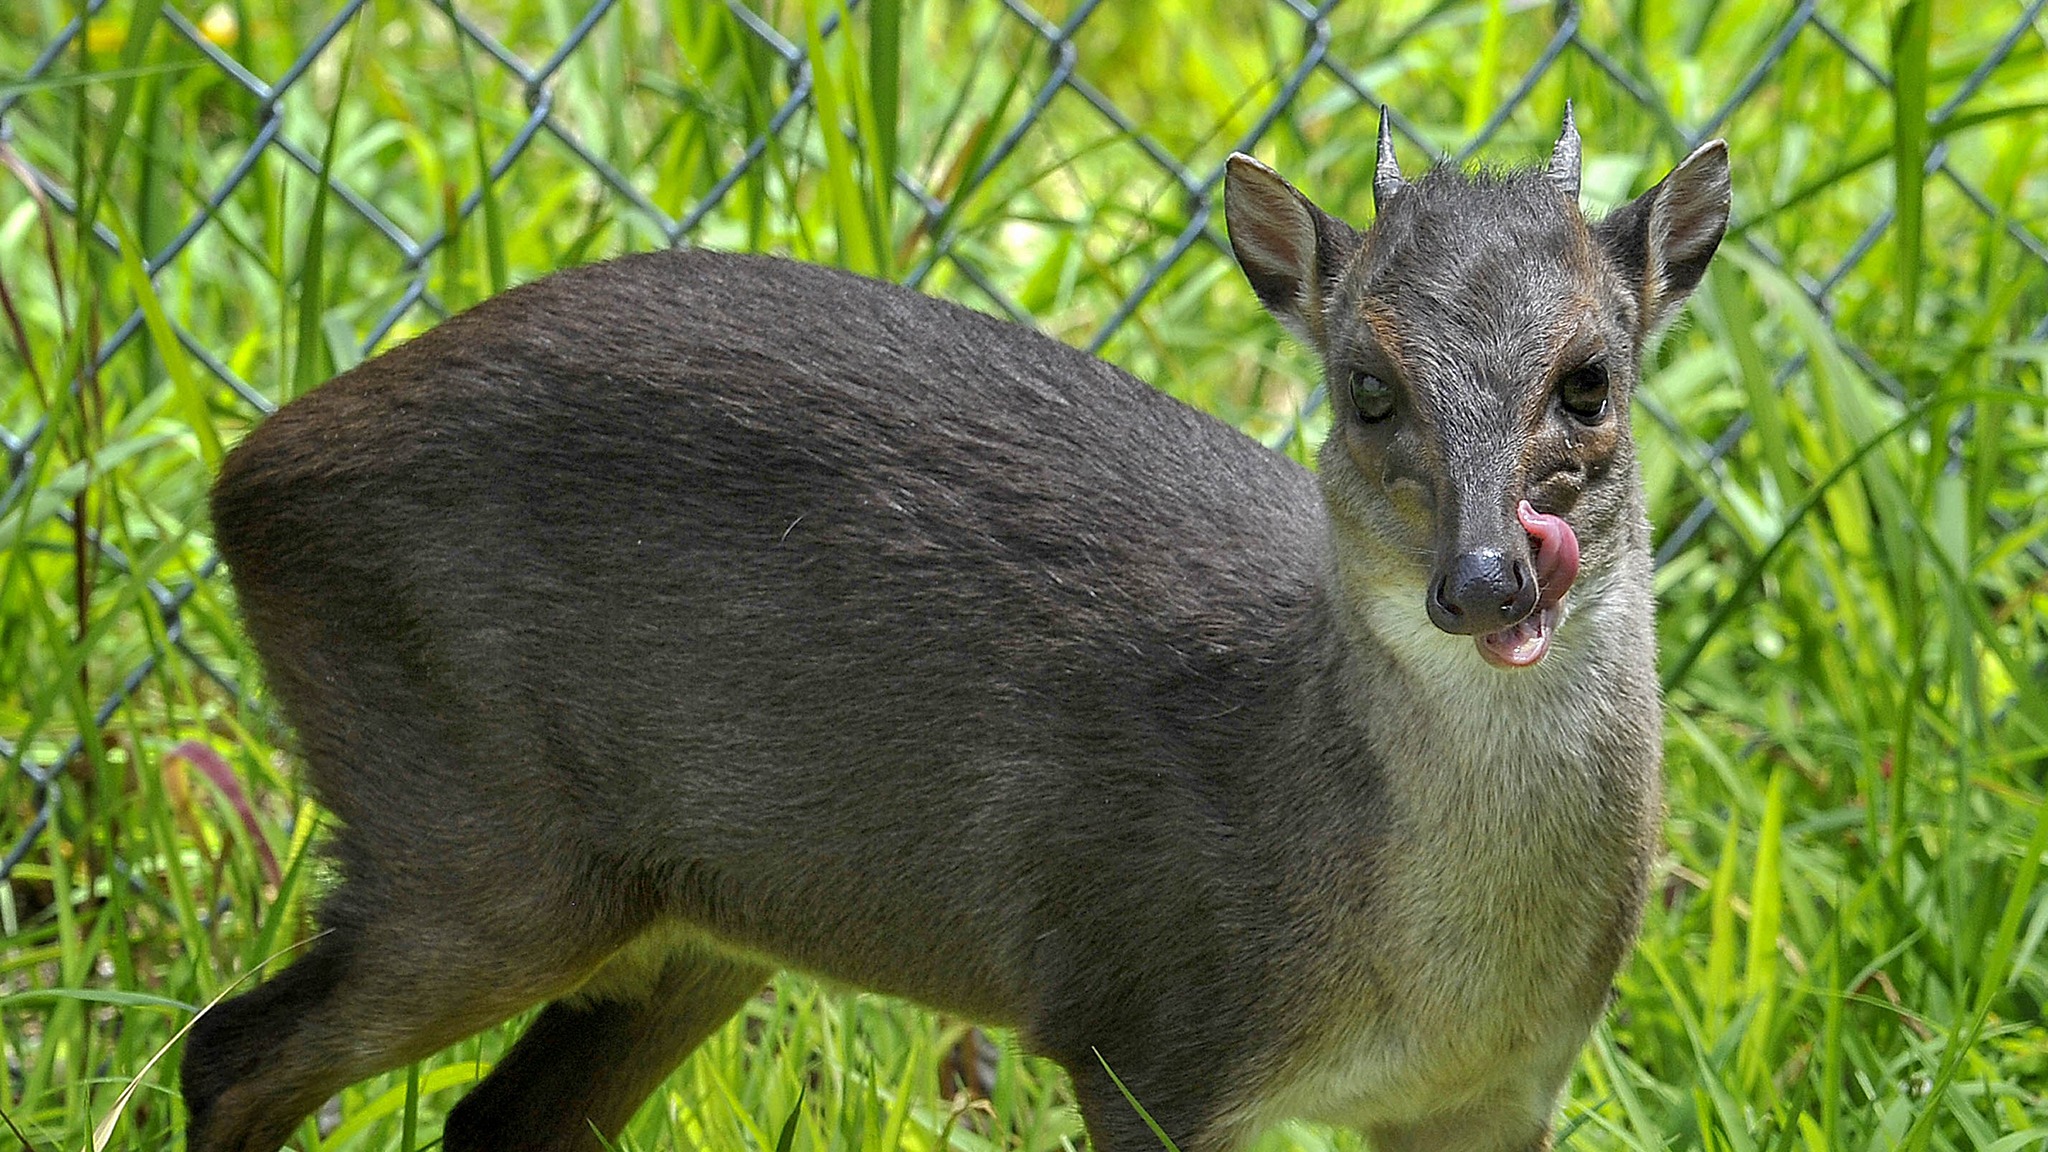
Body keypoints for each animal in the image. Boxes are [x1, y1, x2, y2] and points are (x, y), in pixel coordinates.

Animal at [188, 109, 1728, 1147]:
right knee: (229, 1050)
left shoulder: (1500, 1090)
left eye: (1587, 380)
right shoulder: (1149, 1032)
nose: (1483, 582)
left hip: (695, 915)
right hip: (472, 837)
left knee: (499, 1119)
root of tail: (242, 478)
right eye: (1367, 386)